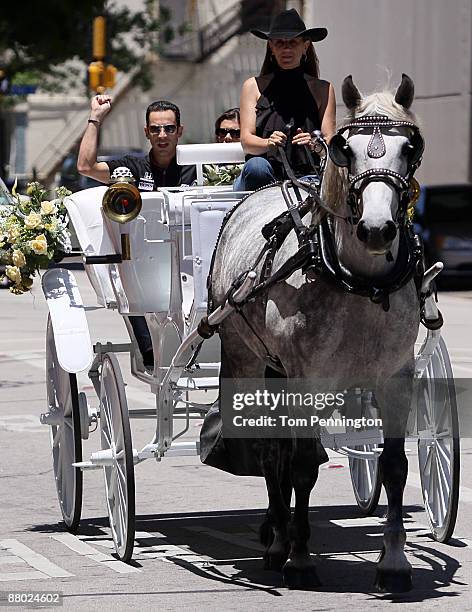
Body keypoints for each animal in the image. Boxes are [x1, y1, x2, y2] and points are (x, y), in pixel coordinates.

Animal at [209, 74, 424, 592]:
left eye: (410, 148)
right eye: (346, 150)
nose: (376, 230)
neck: (361, 283)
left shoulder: (397, 377)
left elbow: (394, 465)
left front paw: (394, 562)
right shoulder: (308, 378)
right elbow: (303, 465)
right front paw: (301, 557)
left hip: (278, 371)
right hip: (247, 359)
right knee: (270, 450)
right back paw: (277, 543)